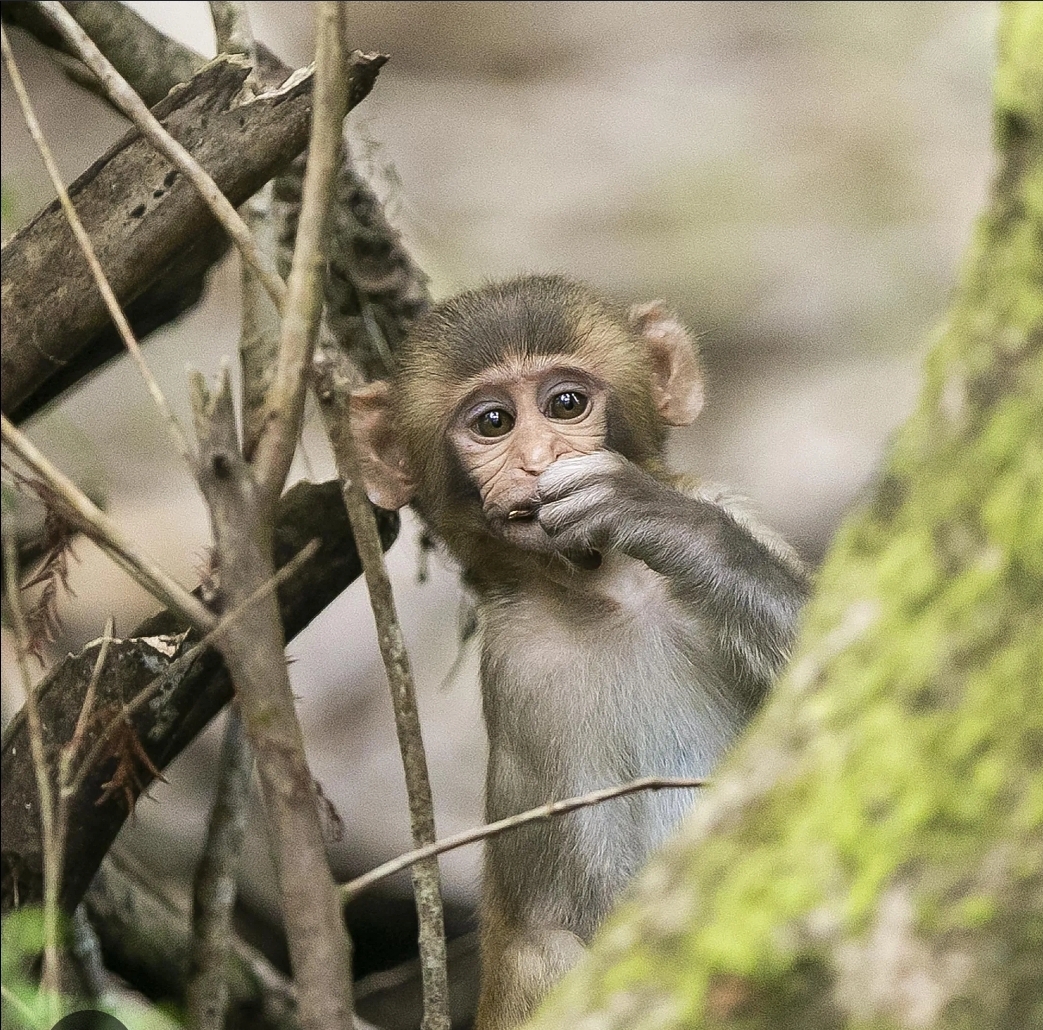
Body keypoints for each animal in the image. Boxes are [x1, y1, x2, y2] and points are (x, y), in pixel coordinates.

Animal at [350, 274, 809, 1029]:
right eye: (493, 422)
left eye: (566, 404)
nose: (540, 462)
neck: (607, 589)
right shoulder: (529, 675)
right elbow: (591, 915)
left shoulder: (736, 511)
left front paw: (666, 523)